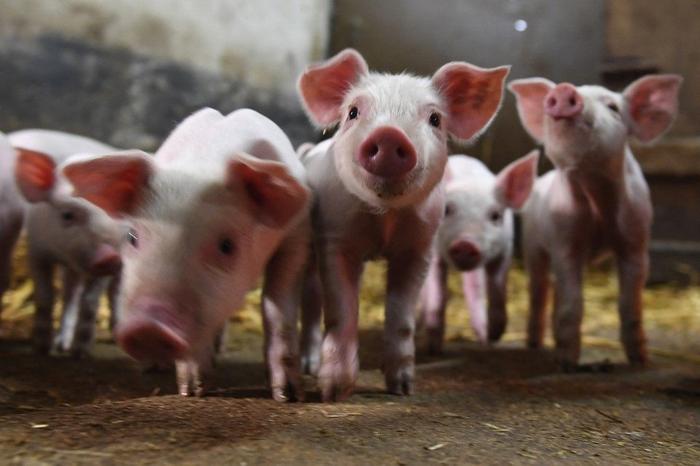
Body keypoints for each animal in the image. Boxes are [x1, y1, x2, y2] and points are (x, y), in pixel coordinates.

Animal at [2, 129, 124, 357]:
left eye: (116, 214)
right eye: (67, 215)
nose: (109, 256)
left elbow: (90, 302)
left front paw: (81, 353)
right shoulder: (37, 251)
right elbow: (45, 296)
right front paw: (41, 348)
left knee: (116, 292)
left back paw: (117, 337)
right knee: (70, 294)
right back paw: (62, 344)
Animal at [61, 108, 311, 400]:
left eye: (227, 245)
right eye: (132, 237)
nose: (148, 328)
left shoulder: (297, 234)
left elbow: (279, 308)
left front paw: (288, 396)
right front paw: (191, 392)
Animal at [297, 48, 510, 401]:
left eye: (435, 119)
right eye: (353, 111)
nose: (388, 134)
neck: (385, 220)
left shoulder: (419, 247)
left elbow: (402, 316)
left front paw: (402, 388)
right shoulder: (335, 239)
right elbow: (341, 311)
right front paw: (333, 392)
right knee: (313, 302)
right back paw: (309, 368)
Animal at [418, 151, 538, 354]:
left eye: (495, 215)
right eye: (447, 209)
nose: (465, 244)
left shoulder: (505, 251)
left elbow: (496, 291)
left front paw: (494, 336)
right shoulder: (434, 254)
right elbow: (438, 295)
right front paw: (434, 347)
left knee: (473, 288)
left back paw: (483, 337)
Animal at [508, 74, 682, 370]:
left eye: (613, 107)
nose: (563, 90)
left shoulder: (636, 241)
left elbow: (630, 303)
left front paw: (641, 361)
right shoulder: (564, 241)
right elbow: (573, 304)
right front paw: (566, 364)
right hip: (532, 244)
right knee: (539, 289)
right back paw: (534, 344)